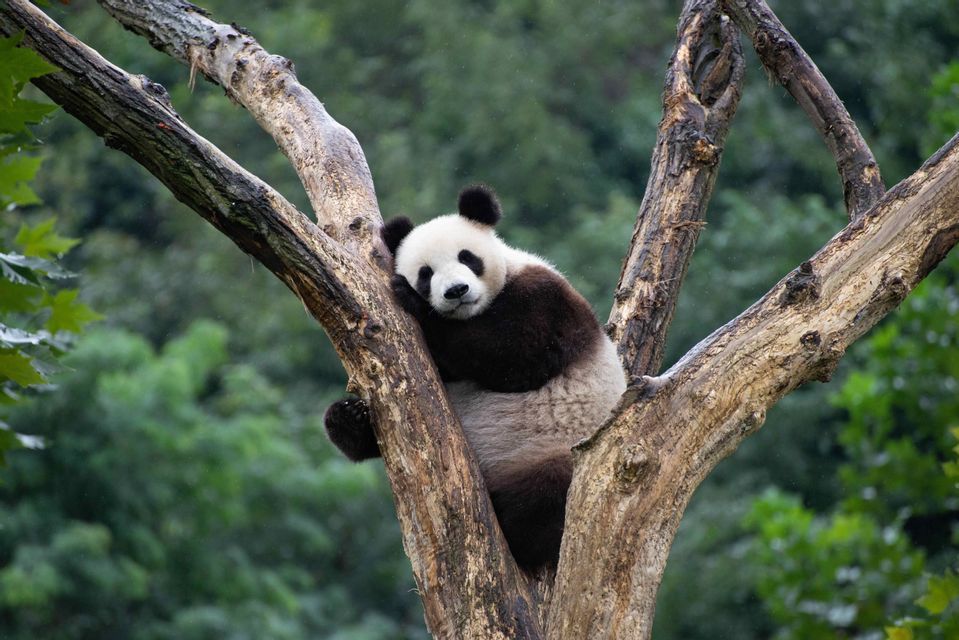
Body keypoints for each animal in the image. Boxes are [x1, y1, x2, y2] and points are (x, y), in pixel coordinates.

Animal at [324, 185, 627, 572]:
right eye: (426, 273)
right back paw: (345, 418)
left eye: (467, 257)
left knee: (546, 497)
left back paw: (517, 532)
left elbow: (515, 353)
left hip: (553, 449)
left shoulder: (549, 300)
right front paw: (351, 414)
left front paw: (415, 305)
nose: (455, 291)